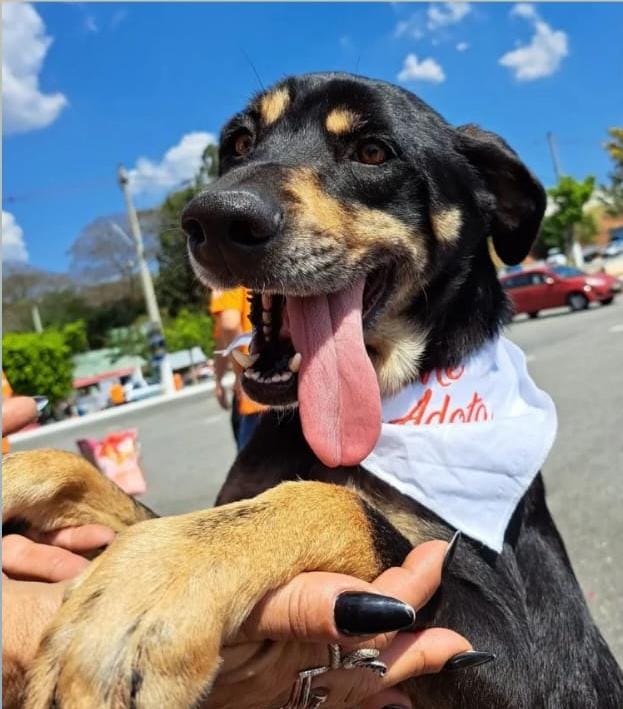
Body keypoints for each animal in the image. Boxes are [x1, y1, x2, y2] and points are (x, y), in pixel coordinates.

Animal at [6, 73, 623, 708]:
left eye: (373, 152)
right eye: (240, 143)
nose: (216, 221)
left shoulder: (542, 660)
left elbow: (333, 502)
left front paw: (146, 592)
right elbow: (100, 488)